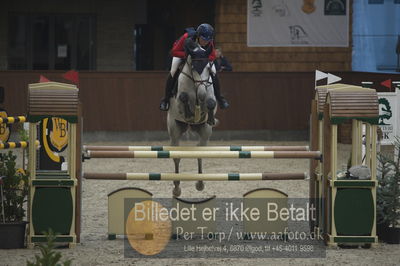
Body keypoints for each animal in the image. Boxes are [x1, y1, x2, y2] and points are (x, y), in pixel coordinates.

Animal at [166, 40, 217, 196]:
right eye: (193, 67)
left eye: (208, 68)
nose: (201, 94)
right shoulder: (179, 101)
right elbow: (183, 97)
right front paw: (189, 114)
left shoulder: (210, 95)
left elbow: (211, 103)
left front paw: (208, 116)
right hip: (174, 130)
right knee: (176, 156)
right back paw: (177, 188)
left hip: (205, 131)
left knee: (200, 152)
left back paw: (200, 183)